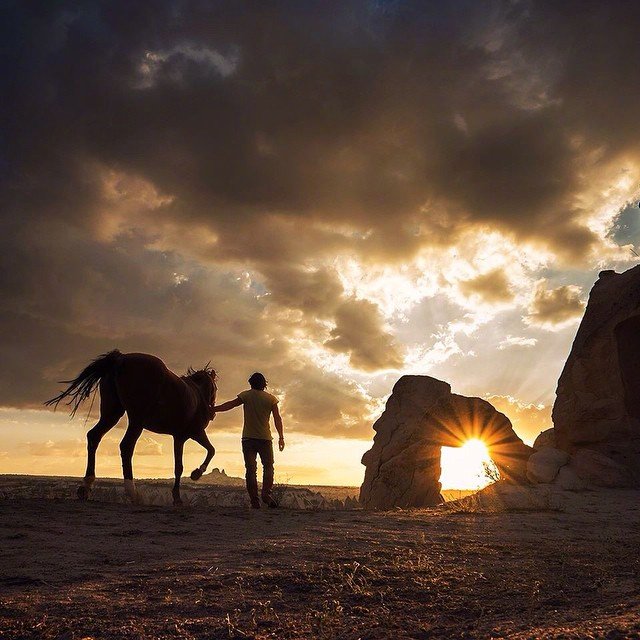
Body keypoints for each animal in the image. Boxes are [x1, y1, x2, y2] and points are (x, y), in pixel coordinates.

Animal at [45, 350, 218, 504]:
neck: (197, 395)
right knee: (126, 446)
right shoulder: (194, 433)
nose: (212, 413)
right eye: (215, 389)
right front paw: (196, 474)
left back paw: (86, 486)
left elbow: (180, 466)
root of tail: (121, 359)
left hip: (112, 413)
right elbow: (209, 451)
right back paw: (132, 492)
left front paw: (178, 493)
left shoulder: (178, 437)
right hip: (136, 420)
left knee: (94, 436)